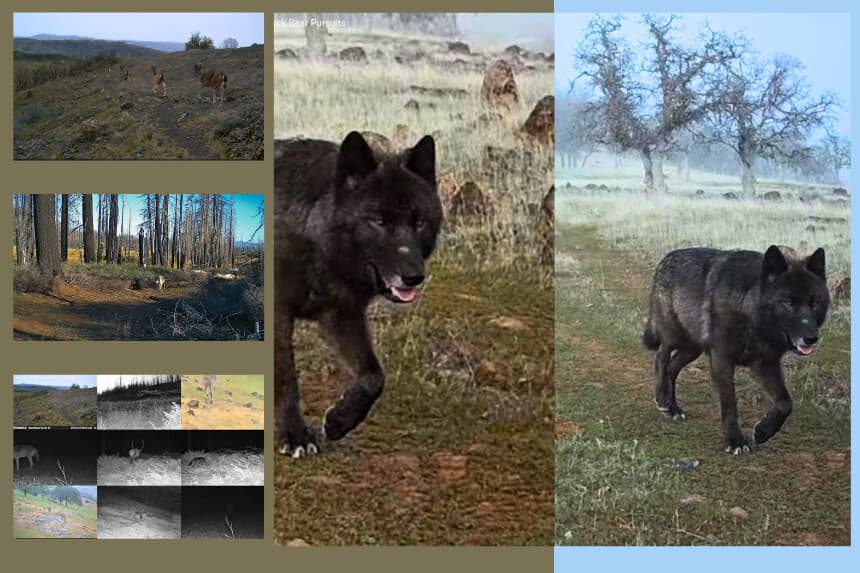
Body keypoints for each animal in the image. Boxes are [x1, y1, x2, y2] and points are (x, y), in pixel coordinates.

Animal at [274, 131, 443, 458]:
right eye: (378, 220)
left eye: (419, 221)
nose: (414, 277)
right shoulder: (277, 314)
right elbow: (287, 379)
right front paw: (295, 435)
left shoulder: (343, 314)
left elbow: (374, 377)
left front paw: (339, 421)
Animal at [643, 245, 829, 454]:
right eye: (788, 302)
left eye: (815, 303)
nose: (811, 338)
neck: (749, 314)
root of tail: (666, 258)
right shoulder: (722, 360)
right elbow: (730, 403)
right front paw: (735, 440)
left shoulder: (766, 364)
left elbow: (785, 403)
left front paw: (763, 432)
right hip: (674, 336)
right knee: (661, 357)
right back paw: (661, 399)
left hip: (693, 349)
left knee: (672, 368)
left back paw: (673, 408)